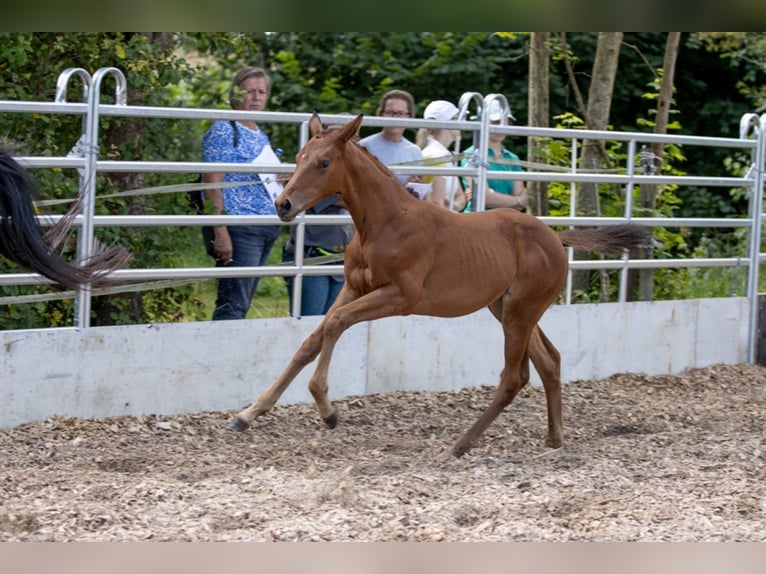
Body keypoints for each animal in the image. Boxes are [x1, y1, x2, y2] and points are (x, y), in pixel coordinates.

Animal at [230, 115, 648, 460]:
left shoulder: (399, 297)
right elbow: (310, 342)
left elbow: (335, 325)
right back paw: (554, 437)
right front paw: (248, 414)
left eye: (324, 163)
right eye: (300, 156)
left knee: (514, 377)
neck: (384, 223)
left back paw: (461, 443)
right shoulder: (353, 289)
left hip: (520, 312)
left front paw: (327, 408)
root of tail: (556, 238)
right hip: (507, 308)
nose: (283, 204)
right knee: (550, 361)